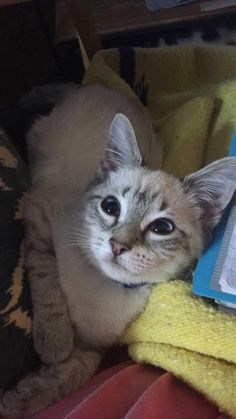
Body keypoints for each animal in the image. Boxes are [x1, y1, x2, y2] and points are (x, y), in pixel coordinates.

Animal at [0, 84, 235, 416]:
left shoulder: (96, 345)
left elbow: (80, 370)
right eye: (111, 207)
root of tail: (98, 86)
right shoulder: (39, 214)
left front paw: (25, 396)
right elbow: (47, 278)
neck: (100, 287)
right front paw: (54, 341)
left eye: (162, 228)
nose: (118, 245)